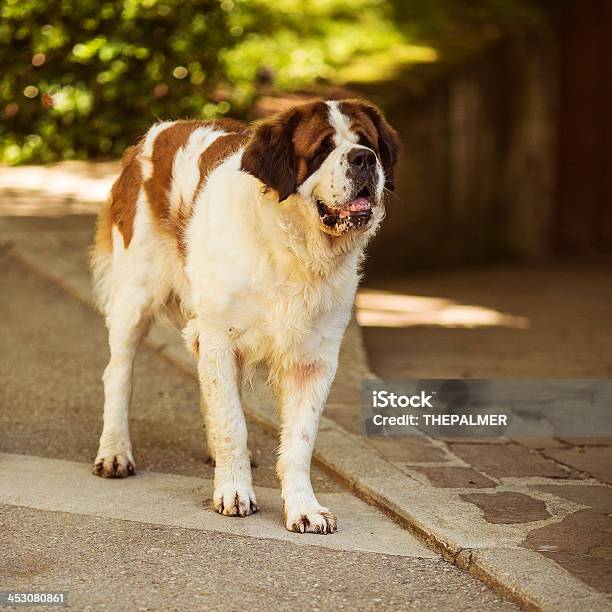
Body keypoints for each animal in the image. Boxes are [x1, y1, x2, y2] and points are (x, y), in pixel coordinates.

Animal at [89, 98, 396, 532]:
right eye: (322, 148)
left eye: (367, 142)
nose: (363, 159)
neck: (291, 247)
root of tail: (156, 132)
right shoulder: (221, 338)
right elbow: (232, 422)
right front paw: (234, 491)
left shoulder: (314, 360)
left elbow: (299, 442)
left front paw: (304, 508)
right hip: (135, 296)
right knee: (119, 373)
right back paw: (115, 451)